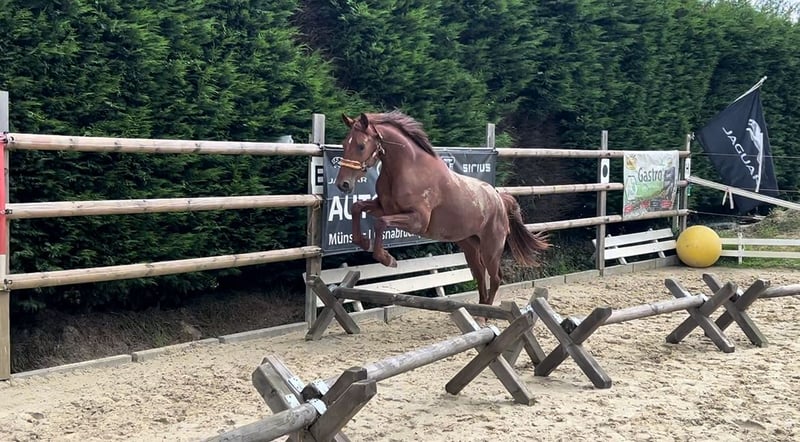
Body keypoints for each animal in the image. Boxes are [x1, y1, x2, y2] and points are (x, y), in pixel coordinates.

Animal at [334, 110, 550, 318]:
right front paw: (362, 242)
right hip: (470, 246)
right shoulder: (384, 207)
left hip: (491, 248)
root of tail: (499, 198)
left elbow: (380, 223)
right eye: (344, 144)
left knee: (495, 278)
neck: (406, 169)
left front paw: (387, 259)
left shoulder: (417, 221)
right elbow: (357, 207)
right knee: (480, 275)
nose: (343, 184)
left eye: (361, 146)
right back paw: (479, 312)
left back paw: (486, 315)